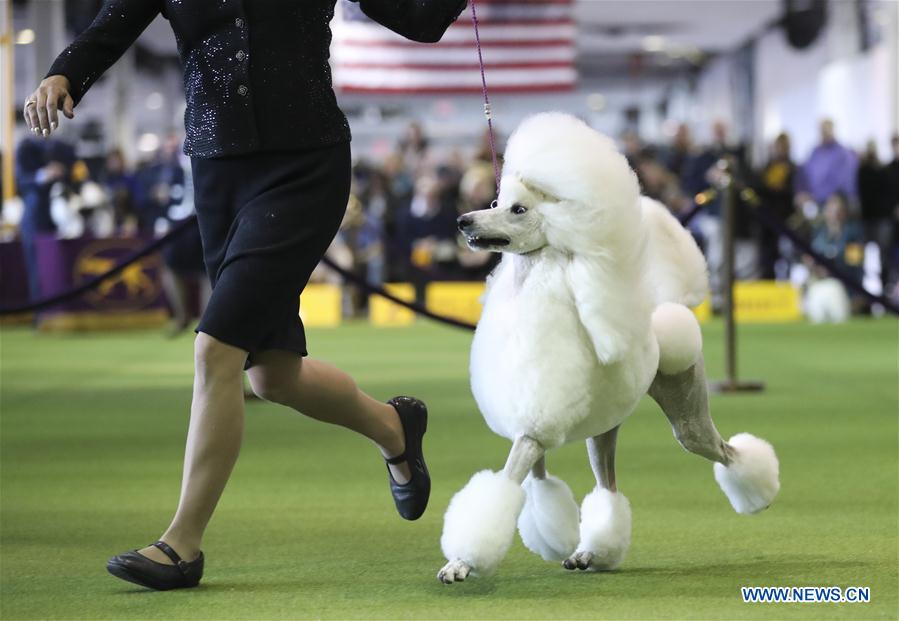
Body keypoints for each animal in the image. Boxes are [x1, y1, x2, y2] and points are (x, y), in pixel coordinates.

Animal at [442, 114, 780, 584]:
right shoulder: (530, 426)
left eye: (518, 210)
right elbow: (537, 484)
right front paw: (553, 538)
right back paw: (592, 553)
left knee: (723, 452)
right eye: (495, 200)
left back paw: (760, 492)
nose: (464, 220)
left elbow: (506, 483)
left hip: (689, 418)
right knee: (608, 488)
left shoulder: (535, 426)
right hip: (603, 429)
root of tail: (666, 310)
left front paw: (462, 563)